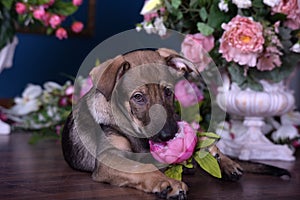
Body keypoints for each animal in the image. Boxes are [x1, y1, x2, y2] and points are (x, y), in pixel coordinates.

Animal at [62, 47, 243, 199]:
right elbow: (140, 167)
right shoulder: (109, 156)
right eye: (138, 97)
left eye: (168, 91)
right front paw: (168, 183)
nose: (168, 135)